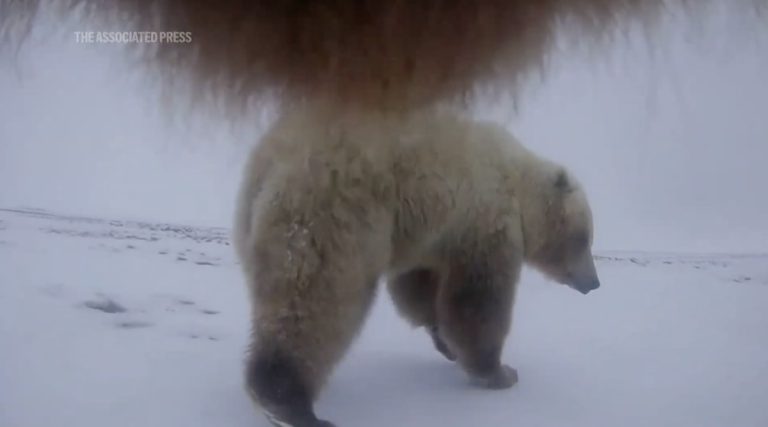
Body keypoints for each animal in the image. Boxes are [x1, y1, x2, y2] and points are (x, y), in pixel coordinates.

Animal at [233, 106, 600, 427]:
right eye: (585, 238)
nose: (594, 283)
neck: (517, 180)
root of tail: (271, 160)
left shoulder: (428, 232)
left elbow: (419, 286)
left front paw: (445, 342)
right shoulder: (484, 218)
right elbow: (478, 300)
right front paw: (499, 372)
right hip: (332, 215)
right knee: (315, 304)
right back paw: (288, 403)